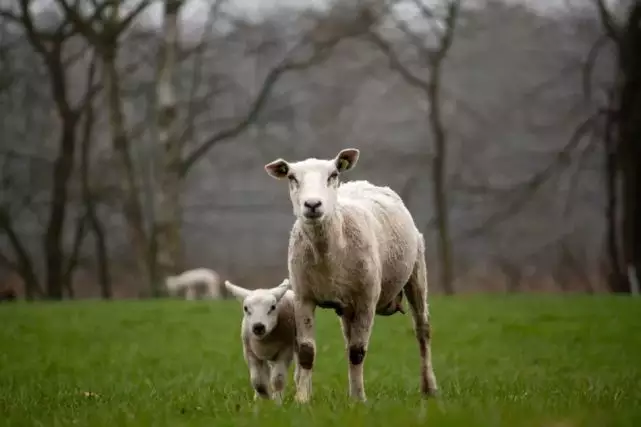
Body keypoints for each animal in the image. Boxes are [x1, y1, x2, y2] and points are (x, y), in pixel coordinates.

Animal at [262, 148, 438, 404]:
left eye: (333, 174)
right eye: (292, 177)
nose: (312, 204)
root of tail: (364, 183)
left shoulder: (367, 298)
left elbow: (358, 351)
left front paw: (358, 399)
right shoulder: (303, 297)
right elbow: (307, 351)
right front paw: (302, 399)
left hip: (416, 271)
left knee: (422, 330)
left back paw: (429, 388)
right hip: (347, 305)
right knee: (348, 339)